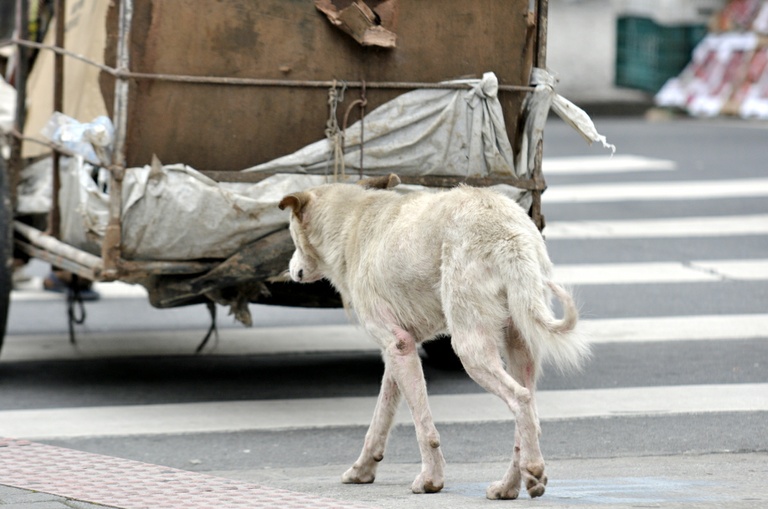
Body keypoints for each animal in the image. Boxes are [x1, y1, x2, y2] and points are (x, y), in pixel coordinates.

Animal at [280, 174, 588, 496]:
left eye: (290, 233)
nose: (290, 270)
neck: (351, 221)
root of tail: (507, 229)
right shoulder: (397, 350)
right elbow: (381, 415)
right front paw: (363, 469)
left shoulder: (398, 345)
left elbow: (422, 424)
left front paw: (430, 479)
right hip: (520, 343)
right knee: (531, 414)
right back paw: (511, 484)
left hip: (470, 347)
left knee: (521, 399)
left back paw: (533, 468)